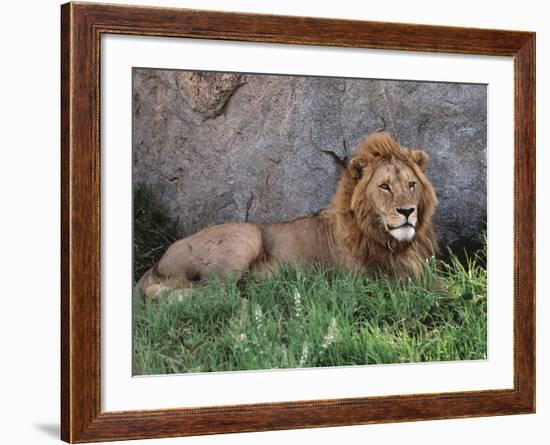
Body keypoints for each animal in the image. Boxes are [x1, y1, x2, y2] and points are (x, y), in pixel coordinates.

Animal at [138, 132, 440, 298]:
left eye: (411, 185)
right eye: (384, 187)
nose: (407, 211)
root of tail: (157, 263)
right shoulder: (374, 281)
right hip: (245, 235)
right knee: (212, 295)